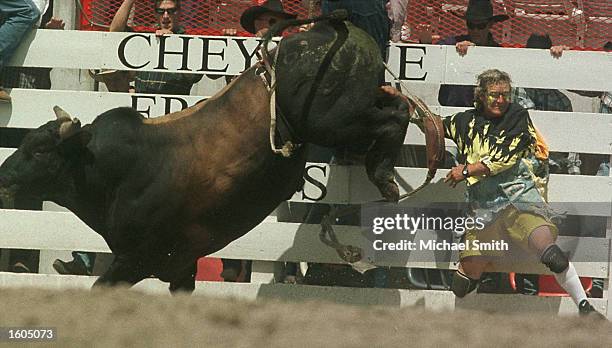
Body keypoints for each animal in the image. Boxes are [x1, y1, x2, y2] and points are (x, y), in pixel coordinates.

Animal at [0, 15, 428, 290]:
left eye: (40, 150)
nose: (3, 177)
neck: (115, 171)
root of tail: (327, 29)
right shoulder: (181, 265)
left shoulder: (136, 259)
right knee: (394, 107)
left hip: (335, 120)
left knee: (395, 116)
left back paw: (384, 173)